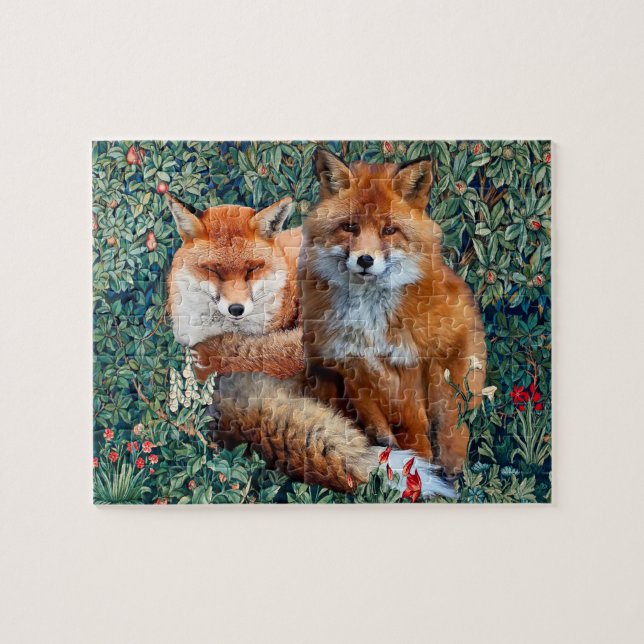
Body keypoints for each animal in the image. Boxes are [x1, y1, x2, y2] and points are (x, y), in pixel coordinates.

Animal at [299, 149, 487, 476]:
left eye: (389, 230)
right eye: (350, 227)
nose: (365, 260)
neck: (370, 317)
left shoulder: (418, 361)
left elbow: (423, 429)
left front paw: (425, 466)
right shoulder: (348, 360)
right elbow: (375, 416)